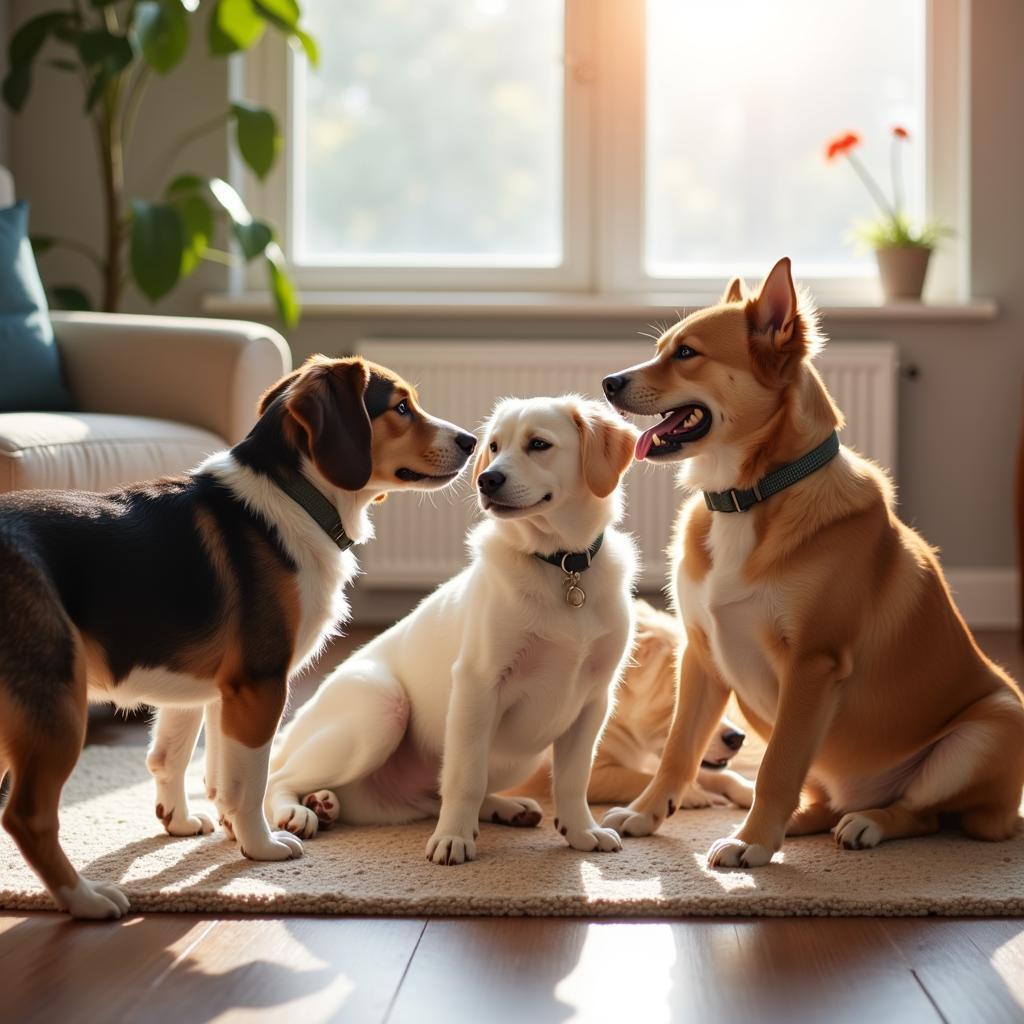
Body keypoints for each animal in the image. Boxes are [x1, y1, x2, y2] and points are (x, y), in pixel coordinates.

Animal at [0, 354, 473, 921]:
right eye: (401, 407)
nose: (473, 440)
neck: (298, 497)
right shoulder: (261, 684)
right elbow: (250, 781)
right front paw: (259, 845)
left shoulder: (200, 689)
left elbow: (181, 760)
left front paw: (185, 823)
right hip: (56, 706)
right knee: (27, 816)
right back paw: (87, 899)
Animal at [272, 397, 638, 864]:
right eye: (494, 446)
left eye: (539, 444)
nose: (487, 479)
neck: (562, 565)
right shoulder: (478, 684)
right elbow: (465, 776)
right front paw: (454, 839)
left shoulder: (594, 698)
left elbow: (574, 778)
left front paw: (580, 830)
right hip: (380, 707)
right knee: (279, 777)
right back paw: (299, 812)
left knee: (432, 794)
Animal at [598, 256, 1024, 864]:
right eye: (662, 348)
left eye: (687, 353)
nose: (608, 383)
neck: (750, 496)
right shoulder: (700, 653)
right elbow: (679, 749)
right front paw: (647, 813)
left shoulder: (811, 665)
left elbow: (776, 765)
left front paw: (752, 843)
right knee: (830, 801)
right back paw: (802, 821)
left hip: (992, 725)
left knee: (921, 813)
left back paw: (864, 823)